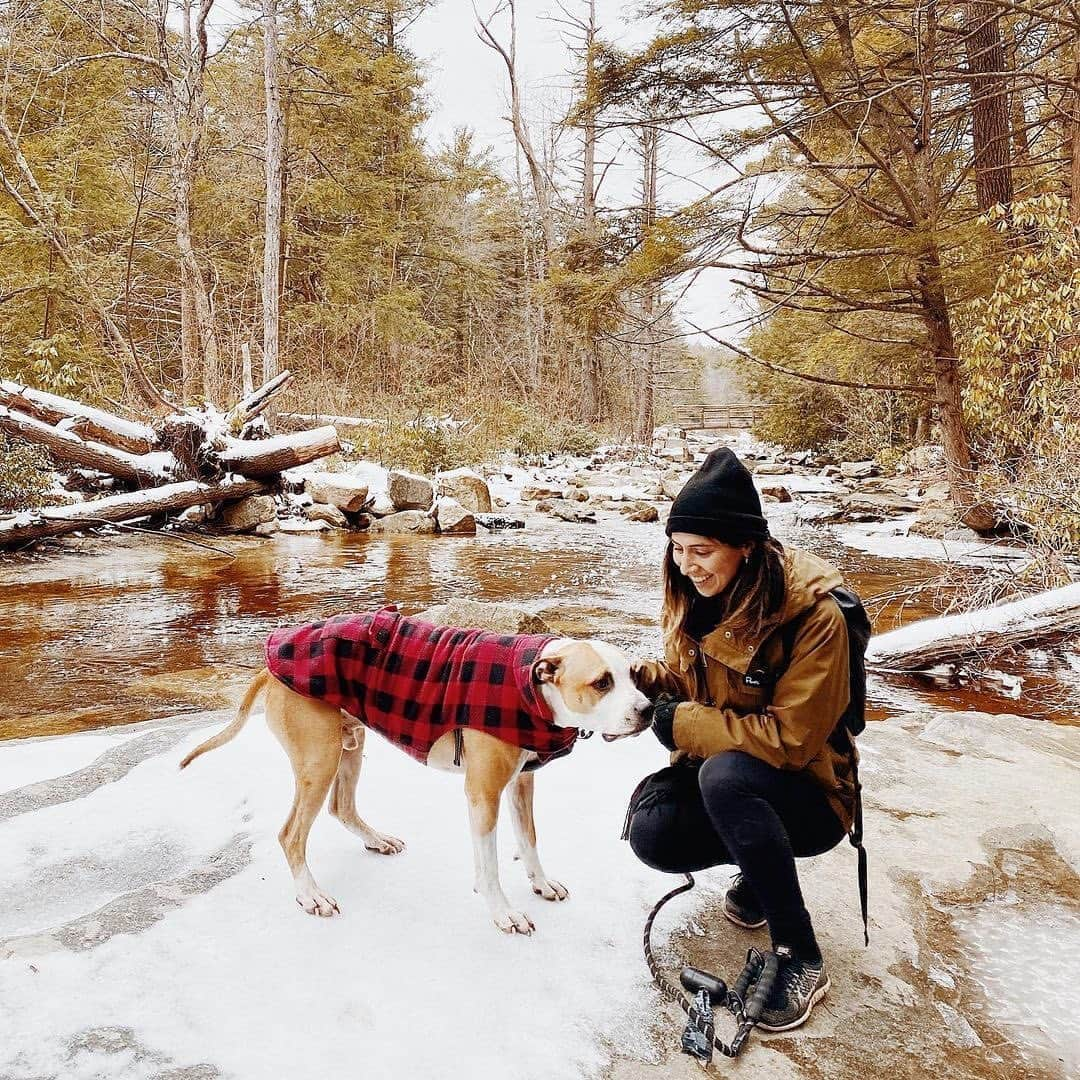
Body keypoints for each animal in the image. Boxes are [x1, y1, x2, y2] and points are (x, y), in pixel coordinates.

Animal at [180, 613, 648, 933]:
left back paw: (376, 839)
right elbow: (489, 865)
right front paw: (503, 912)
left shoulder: (521, 783)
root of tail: (270, 664)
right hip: (319, 758)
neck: (531, 687)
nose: (647, 709)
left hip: (348, 744)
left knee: (342, 807)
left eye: (633, 675)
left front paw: (542, 883)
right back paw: (310, 894)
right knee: (291, 833)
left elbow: (529, 840)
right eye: (602, 682)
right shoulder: (483, 794)